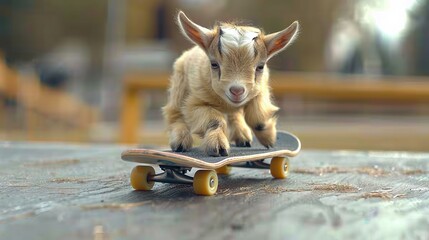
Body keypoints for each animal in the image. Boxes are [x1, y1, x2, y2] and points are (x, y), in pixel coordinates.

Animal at [162, 11, 300, 158]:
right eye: (214, 64)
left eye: (260, 67)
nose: (237, 91)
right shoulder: (194, 103)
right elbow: (215, 120)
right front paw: (218, 146)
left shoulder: (260, 91)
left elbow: (257, 116)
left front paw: (269, 138)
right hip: (180, 84)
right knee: (174, 114)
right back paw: (180, 142)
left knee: (235, 115)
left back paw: (243, 137)